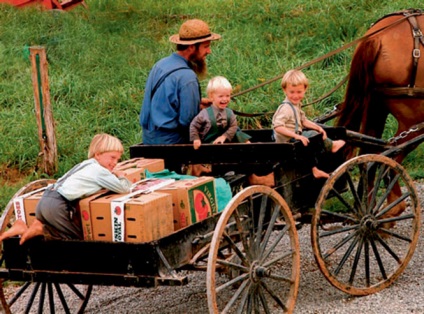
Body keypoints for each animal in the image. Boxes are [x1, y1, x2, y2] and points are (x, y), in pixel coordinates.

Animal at [334, 8, 424, 224]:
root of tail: (376, 37)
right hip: (413, 118)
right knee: (390, 155)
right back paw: (391, 210)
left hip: (375, 107)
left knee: (369, 155)